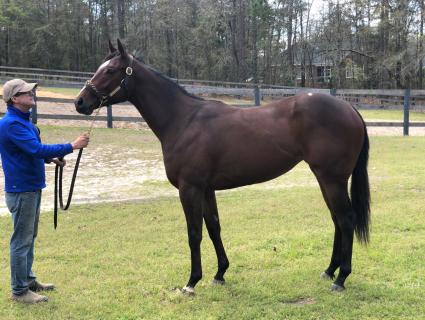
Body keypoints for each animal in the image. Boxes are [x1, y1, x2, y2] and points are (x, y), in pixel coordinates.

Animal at [74, 38, 370, 294]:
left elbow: (194, 233)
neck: (183, 120)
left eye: (109, 70)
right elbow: (214, 227)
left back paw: (341, 278)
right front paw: (219, 273)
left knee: (346, 219)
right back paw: (329, 270)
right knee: (337, 219)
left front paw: (191, 282)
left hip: (332, 179)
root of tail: (349, 108)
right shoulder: (206, 189)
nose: (80, 102)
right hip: (325, 179)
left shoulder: (190, 188)